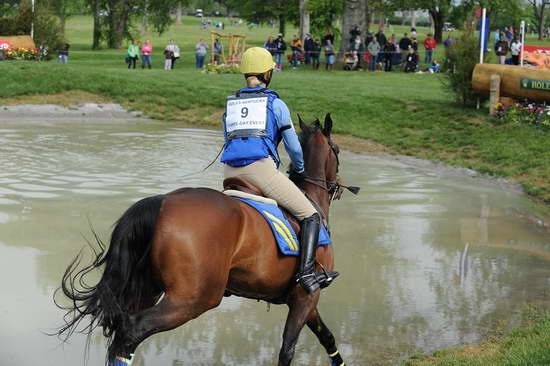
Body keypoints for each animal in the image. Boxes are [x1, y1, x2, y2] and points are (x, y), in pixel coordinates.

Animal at [56, 113, 358, 364]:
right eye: (338, 150)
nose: (340, 187)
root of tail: (163, 201)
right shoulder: (307, 296)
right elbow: (288, 350)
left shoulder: (305, 300)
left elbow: (327, 338)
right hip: (194, 299)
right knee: (132, 330)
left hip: (149, 289)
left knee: (122, 332)